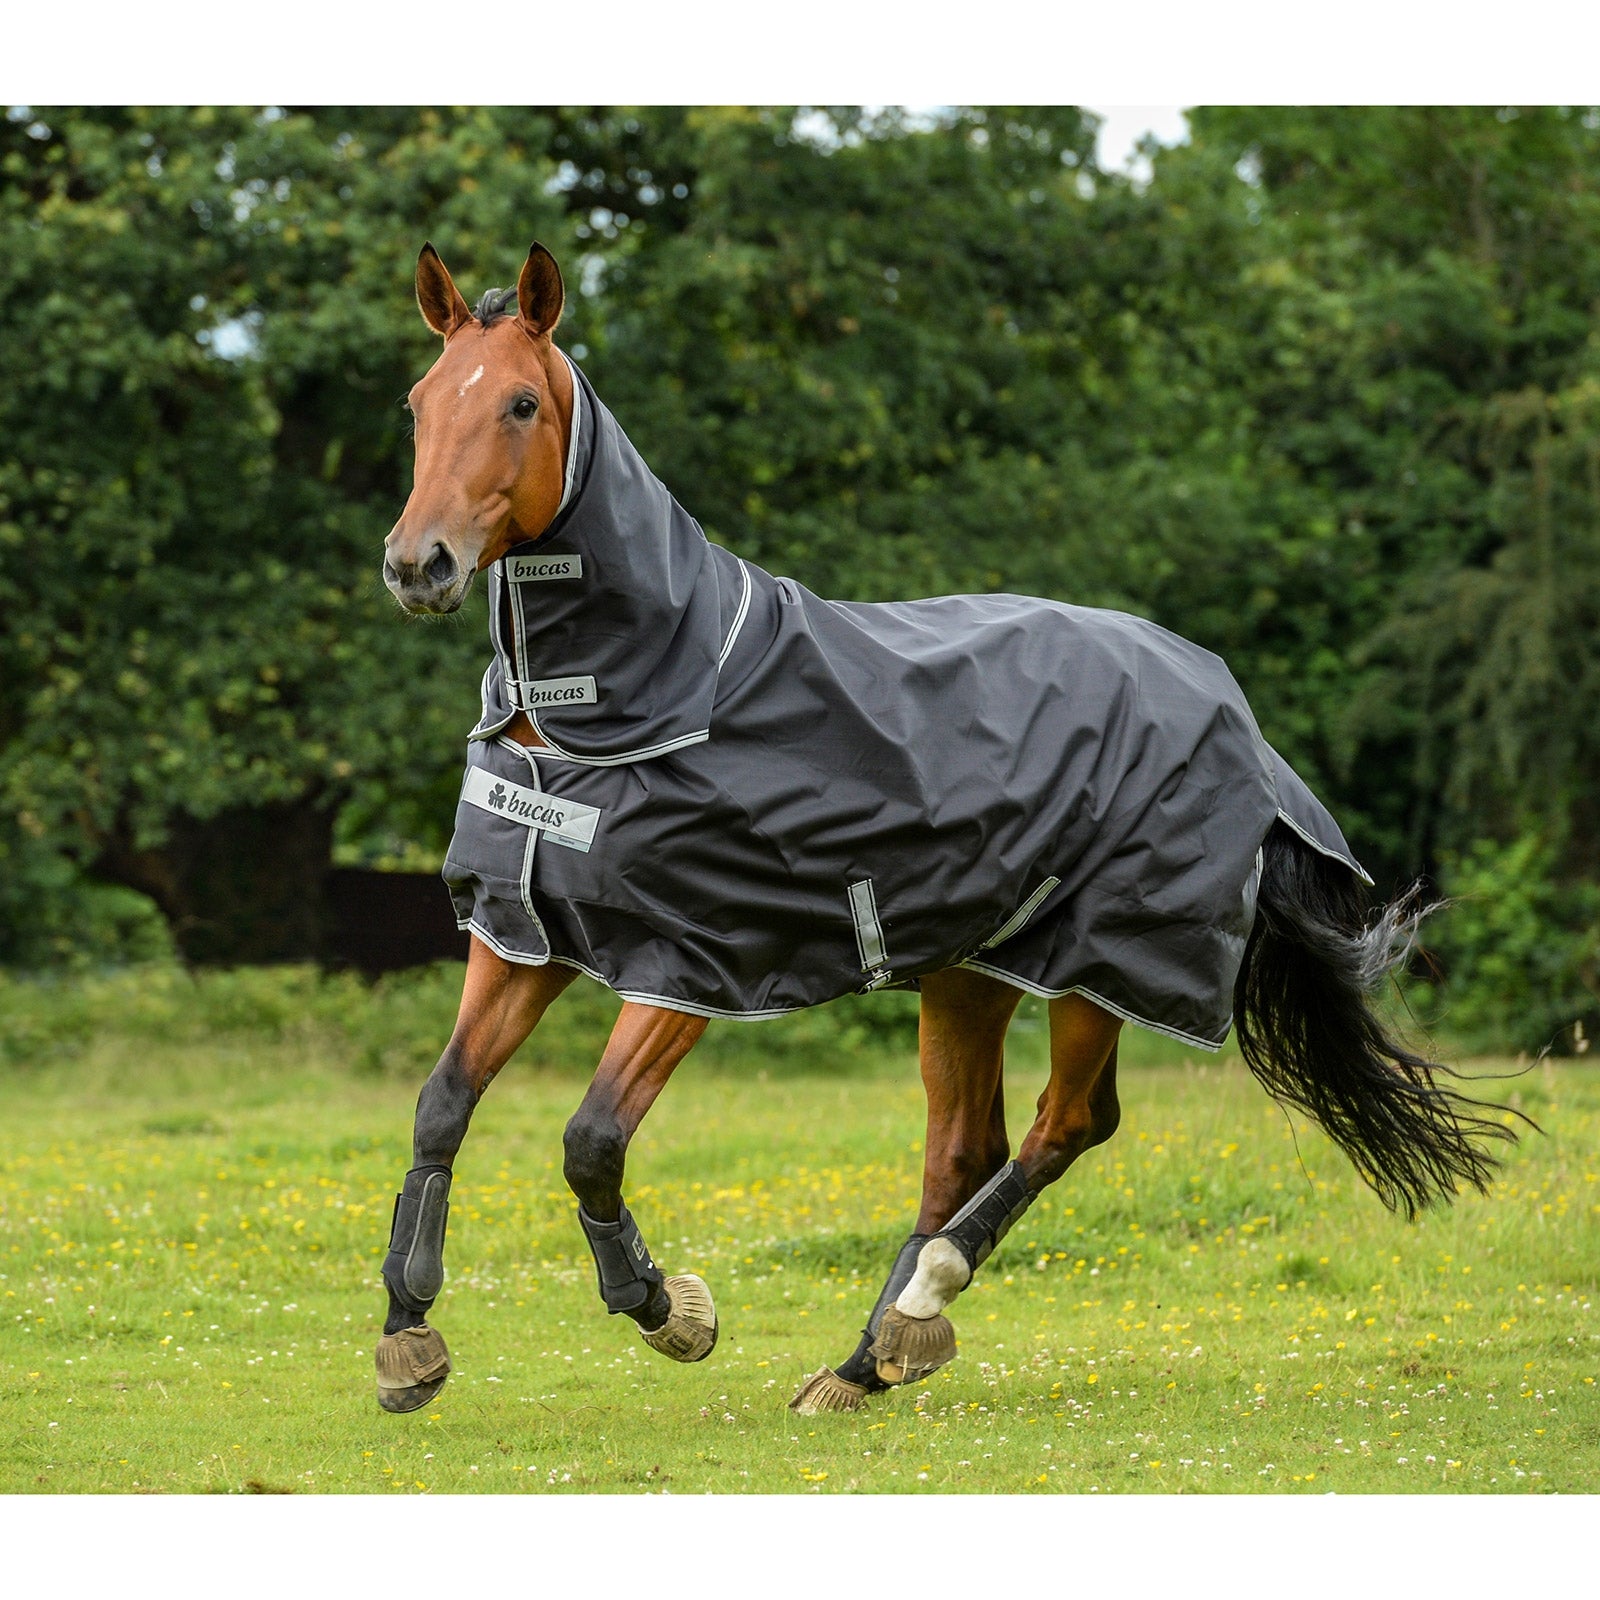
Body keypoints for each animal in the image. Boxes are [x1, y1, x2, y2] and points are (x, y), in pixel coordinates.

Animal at [371, 239, 1516, 1418]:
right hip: (971, 971)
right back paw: (863, 1362)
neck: (633, 697)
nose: (420, 565)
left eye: (518, 402)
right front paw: (409, 1338)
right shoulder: (524, 935)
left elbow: (590, 1139)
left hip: (1097, 965)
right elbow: (442, 1103)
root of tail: (1222, 697)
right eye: (419, 401)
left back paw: (920, 1304)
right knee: (965, 1145)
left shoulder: (690, 963)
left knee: (1068, 1125)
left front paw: (667, 1310)